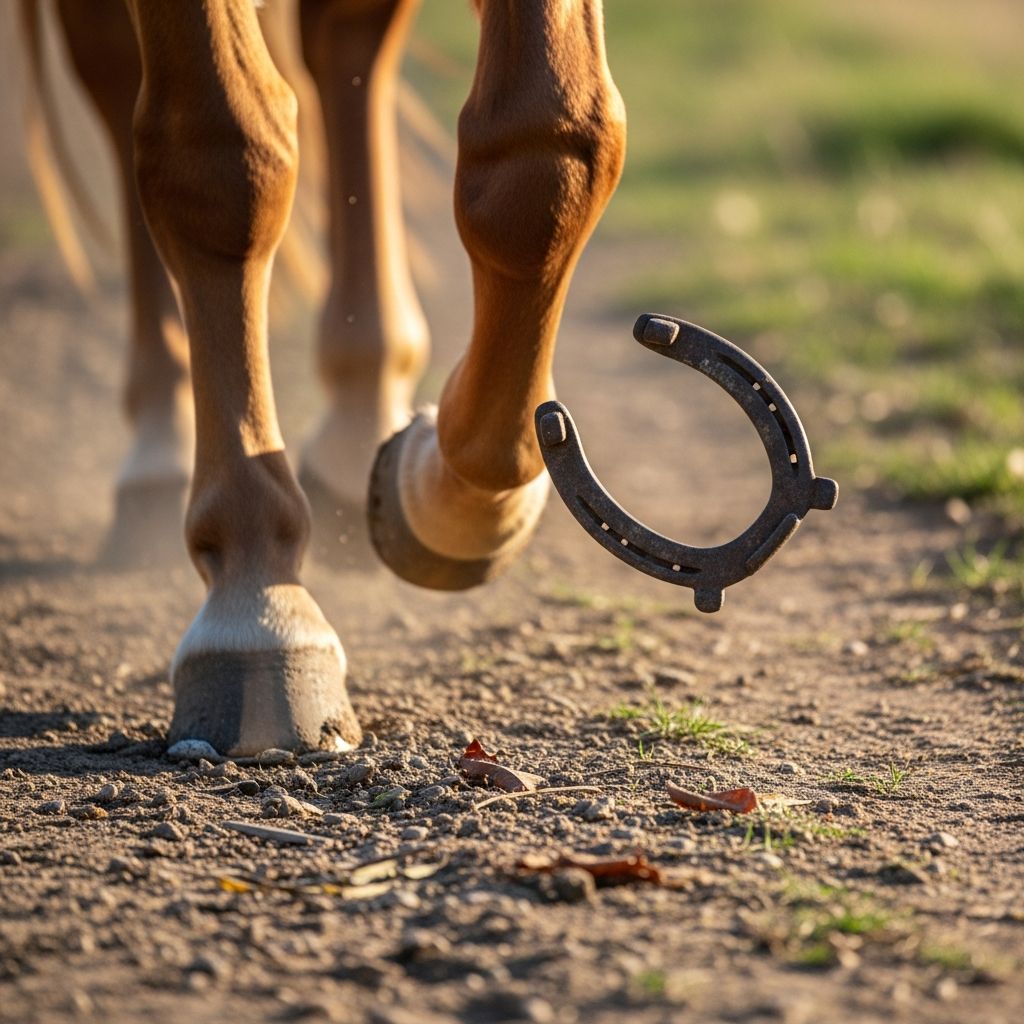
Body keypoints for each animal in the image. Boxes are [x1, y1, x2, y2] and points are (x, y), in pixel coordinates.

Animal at [25, 0, 627, 758]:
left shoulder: (544, 138)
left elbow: (546, 147)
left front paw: (451, 497)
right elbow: (222, 159)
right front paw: (258, 603)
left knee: (348, 44)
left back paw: (358, 425)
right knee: (111, 71)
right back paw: (160, 448)